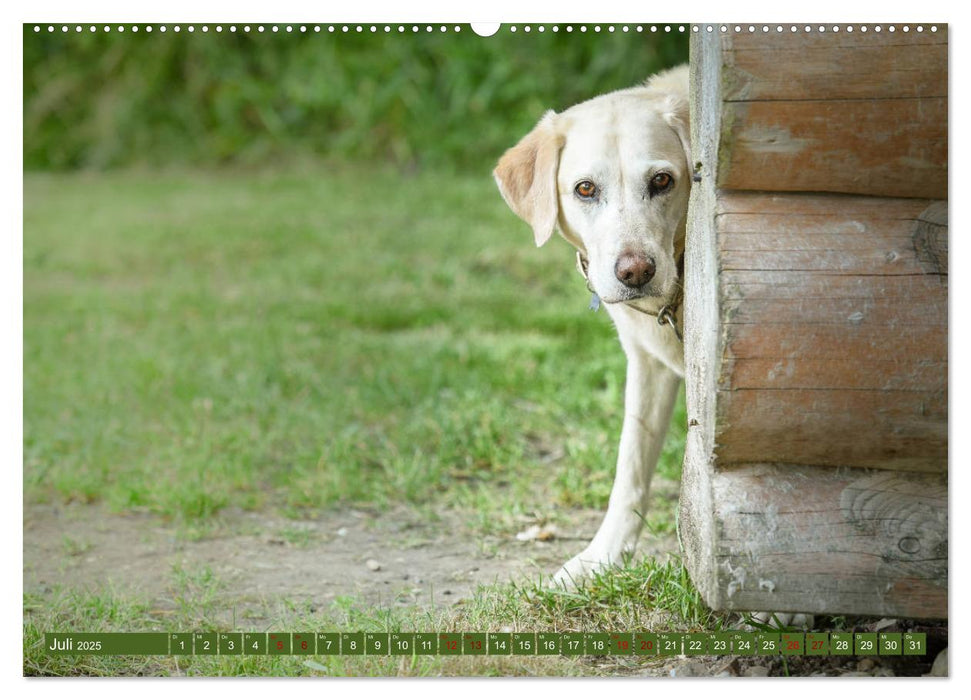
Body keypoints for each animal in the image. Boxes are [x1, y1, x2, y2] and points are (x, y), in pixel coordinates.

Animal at [498, 68, 696, 588]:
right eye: (585, 189)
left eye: (662, 180)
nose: (635, 272)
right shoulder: (648, 366)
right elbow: (631, 468)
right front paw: (601, 559)